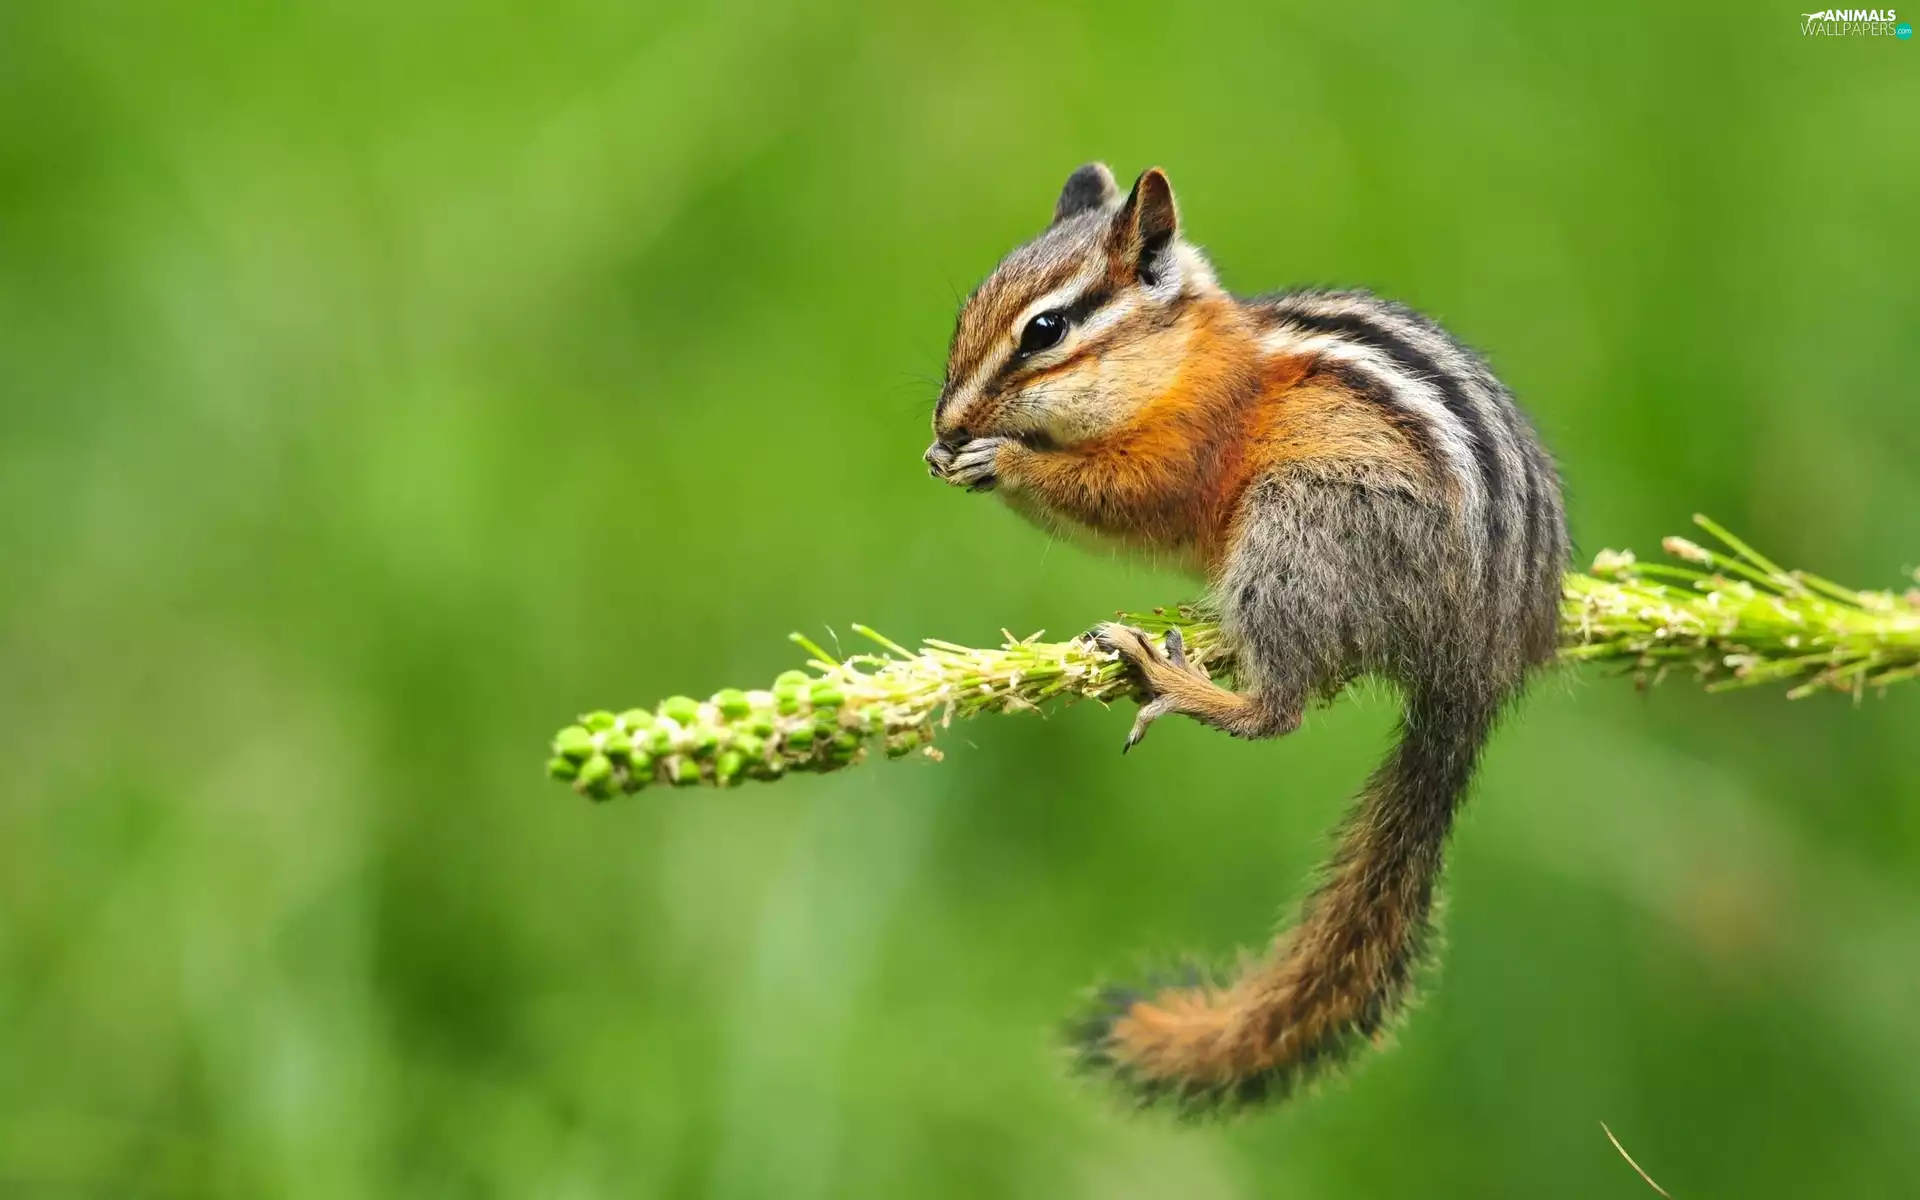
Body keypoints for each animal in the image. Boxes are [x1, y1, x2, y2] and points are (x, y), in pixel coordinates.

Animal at [924, 163, 1568, 1113]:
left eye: (1045, 330)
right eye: (968, 312)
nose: (946, 426)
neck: (1182, 363)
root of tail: (1479, 662)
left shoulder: (1187, 449)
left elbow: (1130, 496)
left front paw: (1002, 460)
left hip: (1299, 528)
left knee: (1279, 711)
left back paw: (1172, 682)